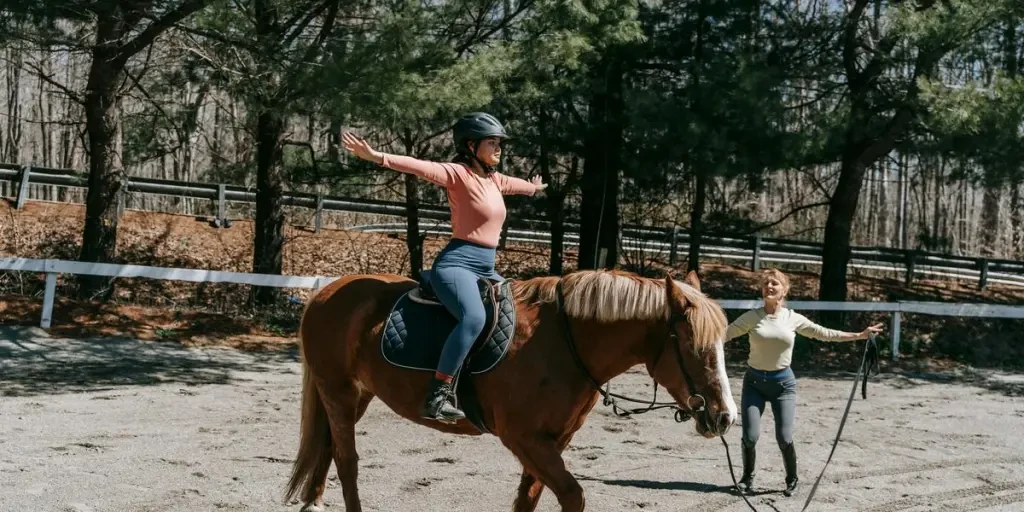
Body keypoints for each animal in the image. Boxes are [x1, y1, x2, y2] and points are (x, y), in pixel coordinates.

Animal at [284, 270, 741, 509]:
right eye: (693, 346)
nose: (725, 416)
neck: (566, 341)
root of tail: (327, 290)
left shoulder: (550, 442)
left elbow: (528, 497)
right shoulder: (524, 439)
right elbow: (572, 495)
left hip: (355, 396)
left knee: (328, 449)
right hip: (338, 391)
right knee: (347, 461)